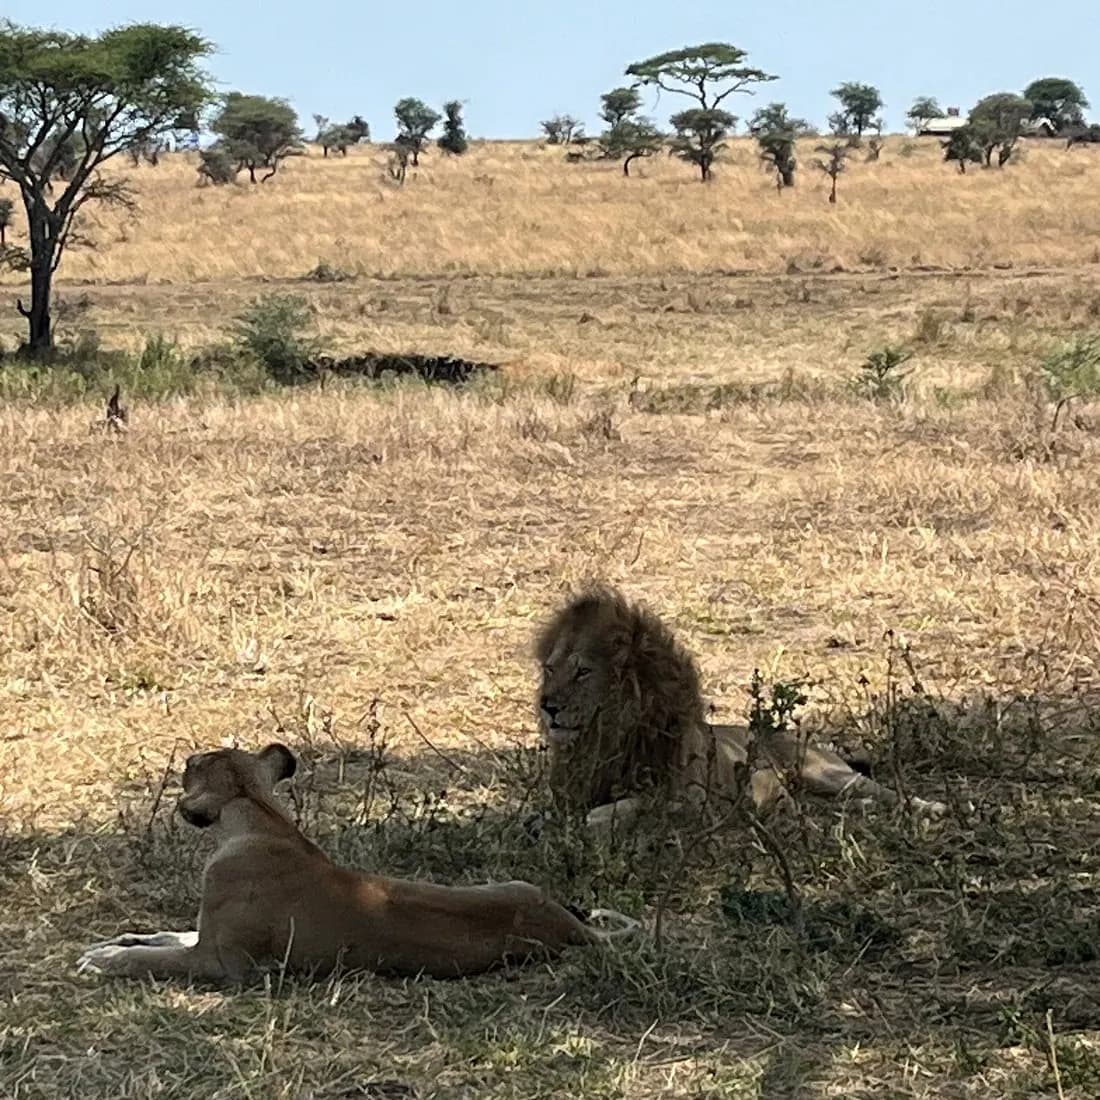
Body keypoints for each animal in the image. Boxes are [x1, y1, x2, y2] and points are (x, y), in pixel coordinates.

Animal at [78, 743, 638, 983]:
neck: (262, 818)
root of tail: (574, 929)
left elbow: (158, 958)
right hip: (513, 883)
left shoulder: (223, 962)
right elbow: (168, 936)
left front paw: (107, 959)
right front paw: (120, 939)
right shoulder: (206, 937)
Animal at [535, 585, 947, 831]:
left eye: (583, 672)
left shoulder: (690, 801)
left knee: (887, 791)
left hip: (828, 774)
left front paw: (584, 822)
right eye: (551, 669)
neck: (605, 738)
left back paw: (929, 809)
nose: (546, 706)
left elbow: (627, 807)